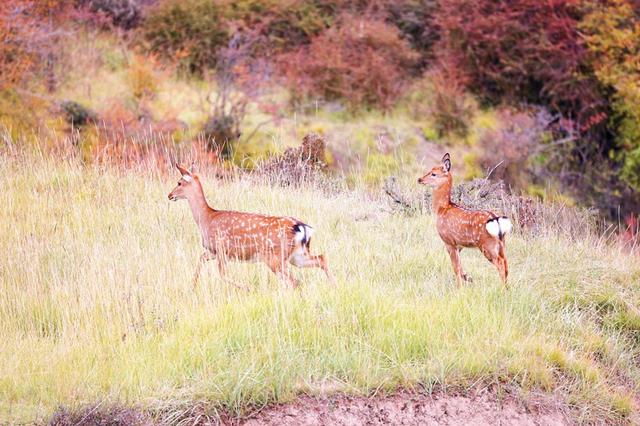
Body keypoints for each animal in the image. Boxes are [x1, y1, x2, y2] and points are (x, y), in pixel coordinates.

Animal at [168, 165, 332, 288]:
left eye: (179, 183)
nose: (169, 195)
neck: (206, 219)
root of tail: (303, 228)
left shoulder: (222, 248)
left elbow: (222, 274)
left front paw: (247, 288)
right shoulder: (213, 251)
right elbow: (201, 259)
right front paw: (192, 287)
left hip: (275, 257)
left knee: (294, 281)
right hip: (297, 255)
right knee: (321, 259)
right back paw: (334, 287)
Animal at [418, 153, 512, 286]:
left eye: (433, 174)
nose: (420, 179)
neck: (442, 209)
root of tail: (496, 220)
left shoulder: (449, 241)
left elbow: (456, 267)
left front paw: (459, 287)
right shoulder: (459, 245)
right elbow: (460, 266)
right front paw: (467, 277)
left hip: (487, 245)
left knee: (500, 264)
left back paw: (501, 288)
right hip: (502, 244)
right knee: (505, 263)